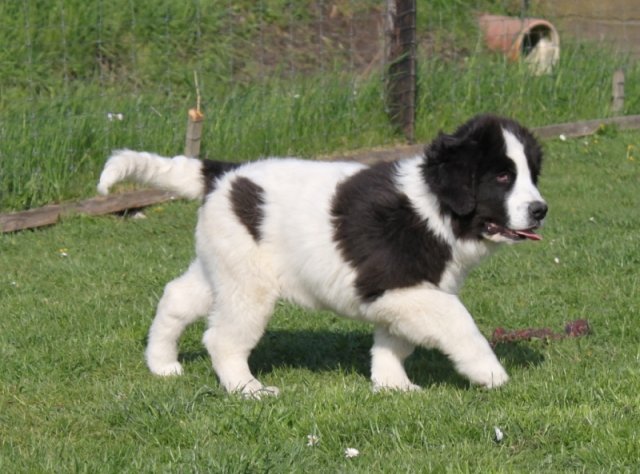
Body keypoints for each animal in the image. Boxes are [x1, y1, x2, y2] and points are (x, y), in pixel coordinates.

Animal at [98, 114, 547, 396]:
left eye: (531, 175)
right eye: (502, 177)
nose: (540, 210)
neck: (435, 205)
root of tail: (225, 173)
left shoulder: (402, 295)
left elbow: (394, 340)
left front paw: (392, 385)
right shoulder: (396, 285)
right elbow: (458, 320)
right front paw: (490, 373)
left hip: (223, 266)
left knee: (177, 296)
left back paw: (161, 363)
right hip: (250, 285)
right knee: (223, 337)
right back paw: (248, 390)